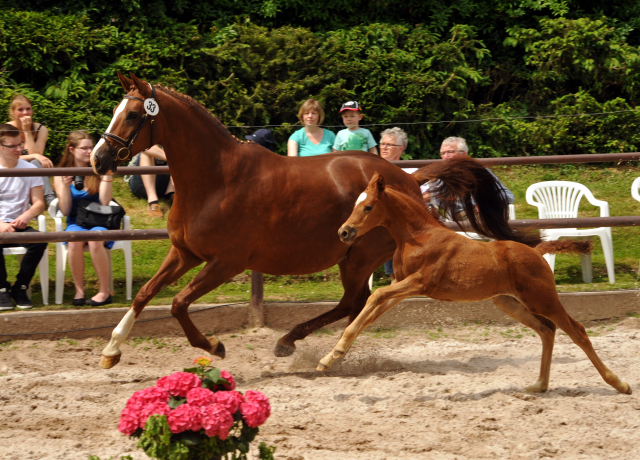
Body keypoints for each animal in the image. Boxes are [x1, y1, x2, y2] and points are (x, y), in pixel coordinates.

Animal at [320, 172, 632, 396]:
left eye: (368, 206)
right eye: (354, 205)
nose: (344, 232)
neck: (419, 236)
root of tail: (538, 251)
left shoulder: (421, 283)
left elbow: (376, 296)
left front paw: (333, 354)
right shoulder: (403, 285)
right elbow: (371, 310)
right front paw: (329, 357)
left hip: (543, 298)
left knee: (576, 330)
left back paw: (619, 384)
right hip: (509, 302)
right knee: (547, 330)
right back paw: (540, 385)